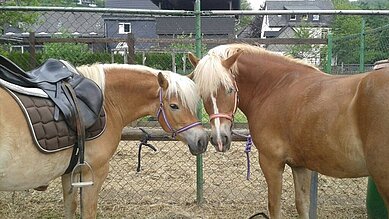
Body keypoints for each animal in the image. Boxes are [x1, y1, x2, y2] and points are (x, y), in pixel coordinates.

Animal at [0, 62, 209, 218]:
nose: (202, 139)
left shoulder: (70, 173)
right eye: (174, 106)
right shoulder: (92, 174)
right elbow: (88, 212)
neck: (107, 102)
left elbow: (70, 208)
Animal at [189, 43, 388, 218]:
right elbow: (302, 205)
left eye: (230, 89)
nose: (219, 139)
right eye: (202, 94)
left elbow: (274, 207)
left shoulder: (272, 163)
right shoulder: (300, 166)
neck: (274, 87)